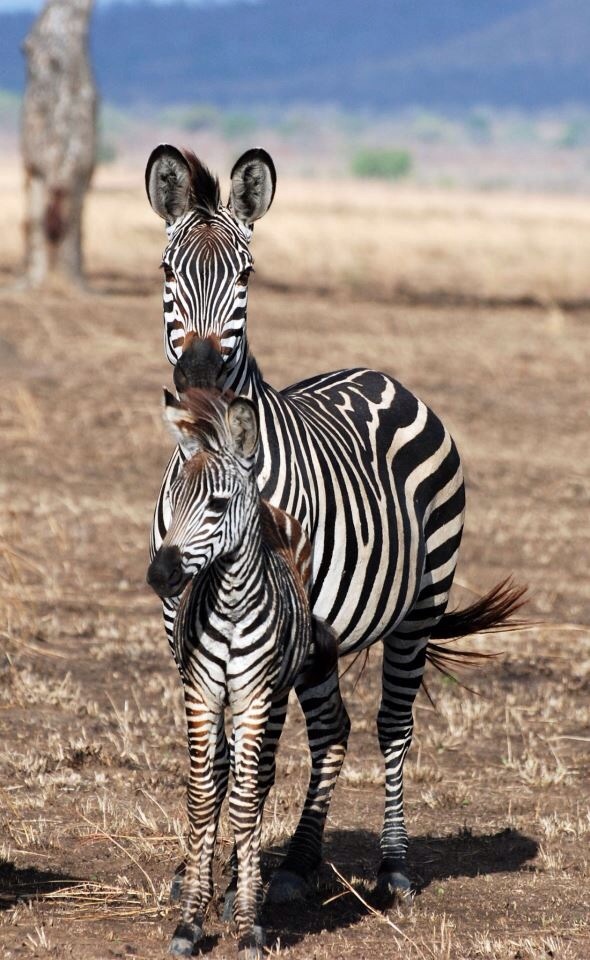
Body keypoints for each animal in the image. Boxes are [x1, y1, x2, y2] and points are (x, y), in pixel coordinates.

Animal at [147, 386, 338, 956]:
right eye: (172, 504)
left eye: (216, 504)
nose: (159, 575)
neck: (230, 604)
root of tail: (271, 508)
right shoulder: (201, 695)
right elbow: (203, 795)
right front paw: (191, 917)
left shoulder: (254, 697)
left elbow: (247, 799)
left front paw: (249, 919)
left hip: (277, 693)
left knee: (259, 776)